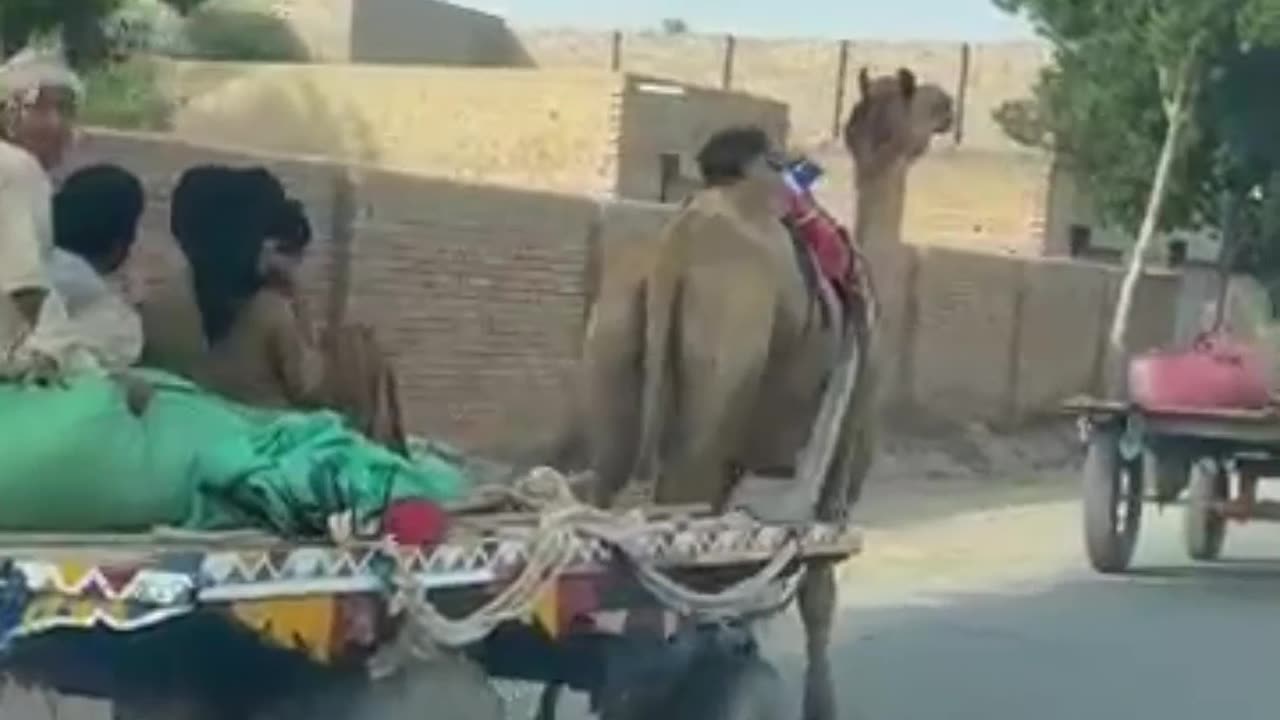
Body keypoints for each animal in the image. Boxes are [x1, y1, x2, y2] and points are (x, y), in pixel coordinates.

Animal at [576, 68, 957, 717]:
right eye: (919, 98)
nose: (948, 104)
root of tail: (673, 247)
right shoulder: (844, 452)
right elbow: (816, 580)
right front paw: (817, 703)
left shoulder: (741, 457)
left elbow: (727, 568)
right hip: (724, 356)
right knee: (667, 527)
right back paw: (648, 682)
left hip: (619, 350)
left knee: (608, 510)